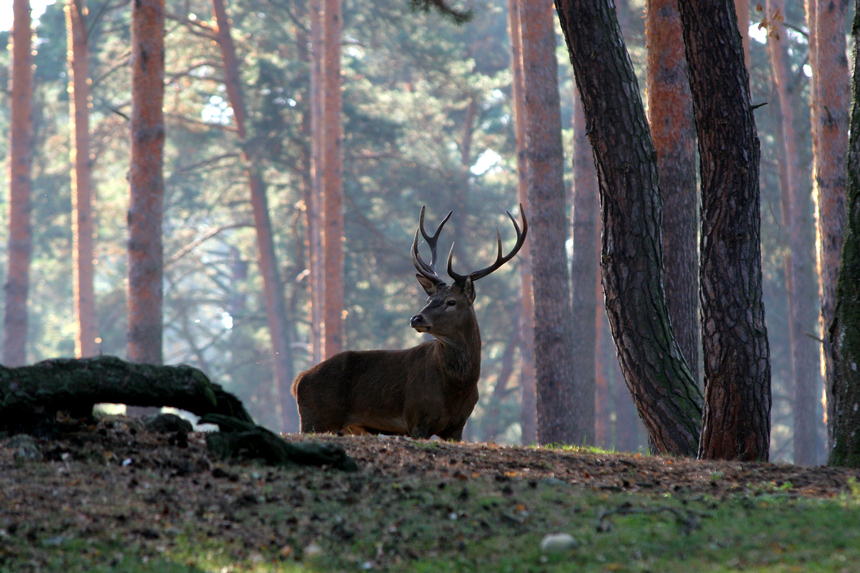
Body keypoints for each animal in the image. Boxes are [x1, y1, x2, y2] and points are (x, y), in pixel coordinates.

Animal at [292, 207, 528, 442]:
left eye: (451, 302)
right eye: (429, 299)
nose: (416, 318)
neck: (458, 388)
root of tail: (299, 380)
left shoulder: (457, 426)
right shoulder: (416, 417)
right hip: (316, 418)